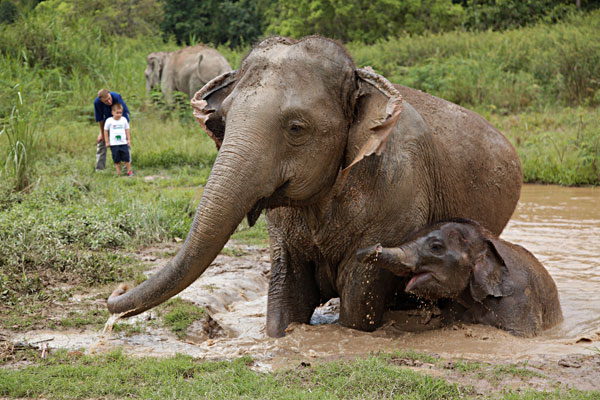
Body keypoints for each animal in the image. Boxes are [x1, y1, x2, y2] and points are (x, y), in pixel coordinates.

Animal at [110, 36, 524, 338]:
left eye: (296, 128)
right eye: (223, 122)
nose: (117, 293)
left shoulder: (400, 201)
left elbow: (359, 302)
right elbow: (287, 297)